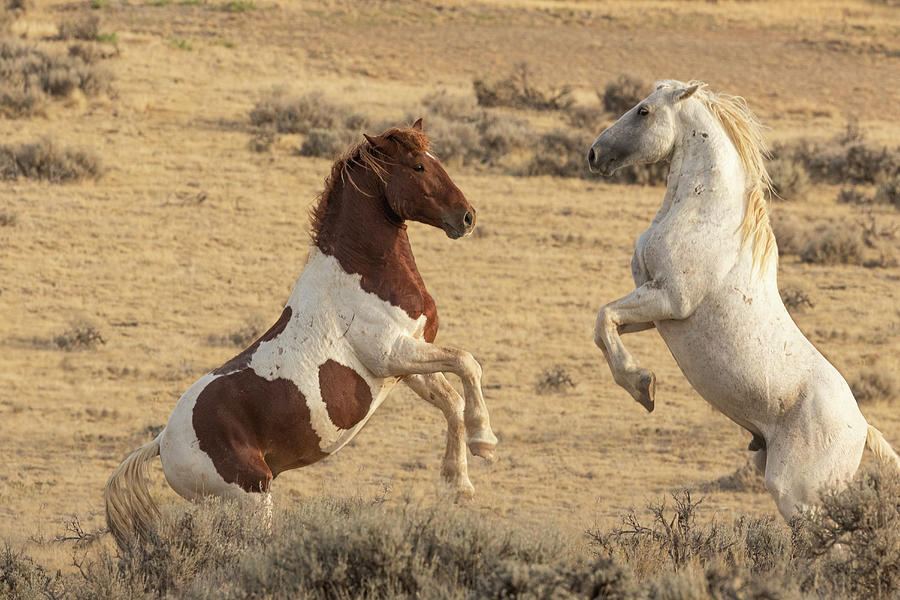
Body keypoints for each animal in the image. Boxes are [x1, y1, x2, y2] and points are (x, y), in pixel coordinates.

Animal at [107, 118, 500, 548]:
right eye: (417, 166)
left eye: (435, 158)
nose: (467, 217)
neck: (362, 274)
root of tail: (162, 443)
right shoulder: (392, 353)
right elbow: (468, 363)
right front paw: (485, 442)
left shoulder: (406, 363)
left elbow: (451, 399)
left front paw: (458, 484)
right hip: (252, 498)